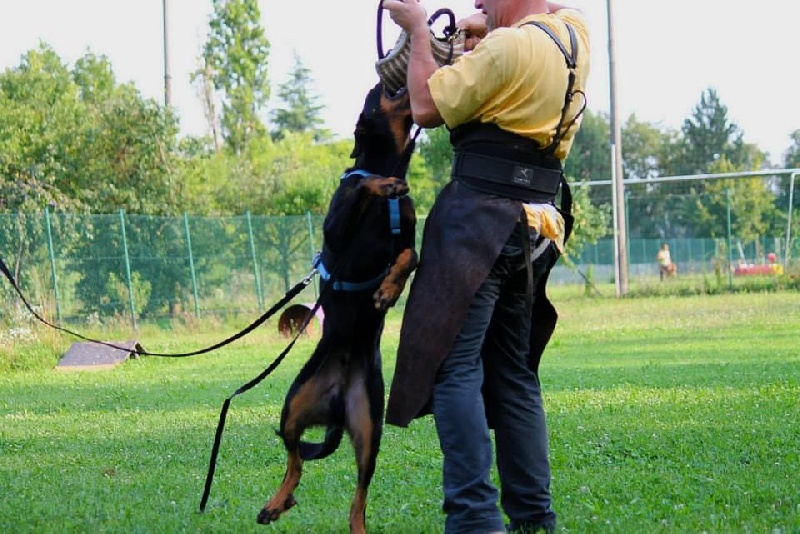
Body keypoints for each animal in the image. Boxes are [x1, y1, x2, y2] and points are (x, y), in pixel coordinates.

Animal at [256, 82, 417, 534]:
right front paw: (382, 185)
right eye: (374, 96)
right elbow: (362, 186)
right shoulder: (336, 227)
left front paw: (388, 290)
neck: (388, 162)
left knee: (357, 498)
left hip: (369, 429)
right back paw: (277, 502)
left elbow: (410, 255)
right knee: (294, 461)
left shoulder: (409, 238)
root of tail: (337, 405)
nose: (377, 83)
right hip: (293, 406)